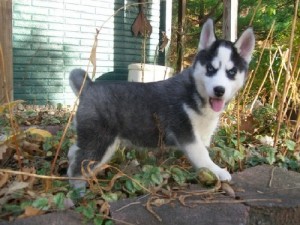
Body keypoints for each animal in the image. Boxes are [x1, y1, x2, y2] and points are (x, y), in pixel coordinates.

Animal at [68, 19, 255, 189]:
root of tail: (88, 86)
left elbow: (204, 150)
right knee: (79, 167)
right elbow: (202, 155)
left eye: (231, 72)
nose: (219, 90)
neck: (195, 92)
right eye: (210, 69)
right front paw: (217, 171)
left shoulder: (202, 134)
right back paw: (79, 191)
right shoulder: (186, 132)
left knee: (74, 151)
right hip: (99, 141)